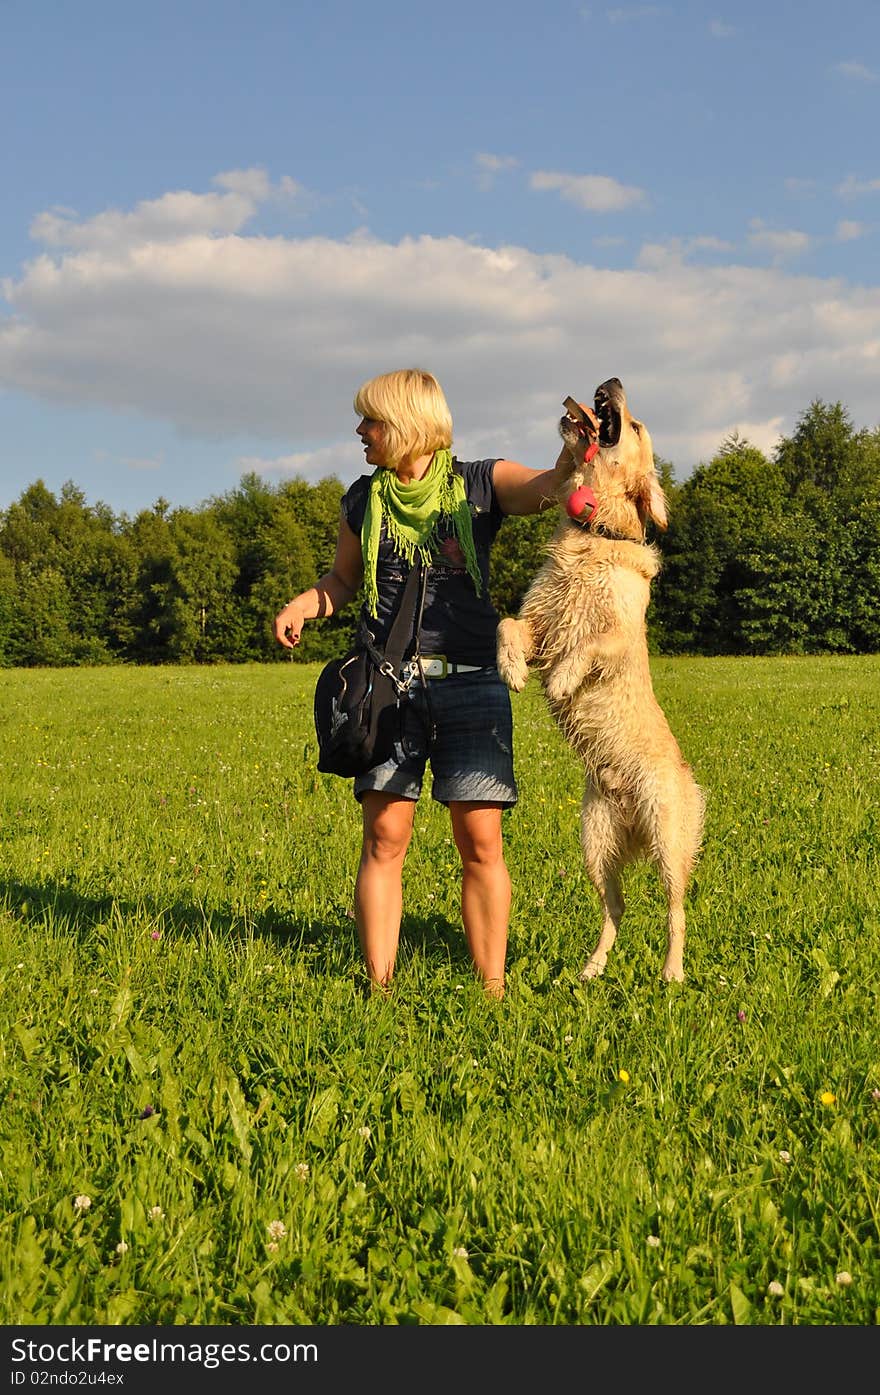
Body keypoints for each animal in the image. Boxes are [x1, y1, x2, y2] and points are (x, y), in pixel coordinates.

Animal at [499, 379, 705, 982]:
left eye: (634, 427)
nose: (610, 383)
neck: (596, 531)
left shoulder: (621, 633)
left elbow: (588, 646)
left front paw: (562, 682)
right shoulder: (537, 619)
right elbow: (506, 625)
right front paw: (512, 670)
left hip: (667, 839)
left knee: (675, 910)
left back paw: (672, 974)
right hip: (595, 841)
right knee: (615, 908)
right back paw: (591, 969)